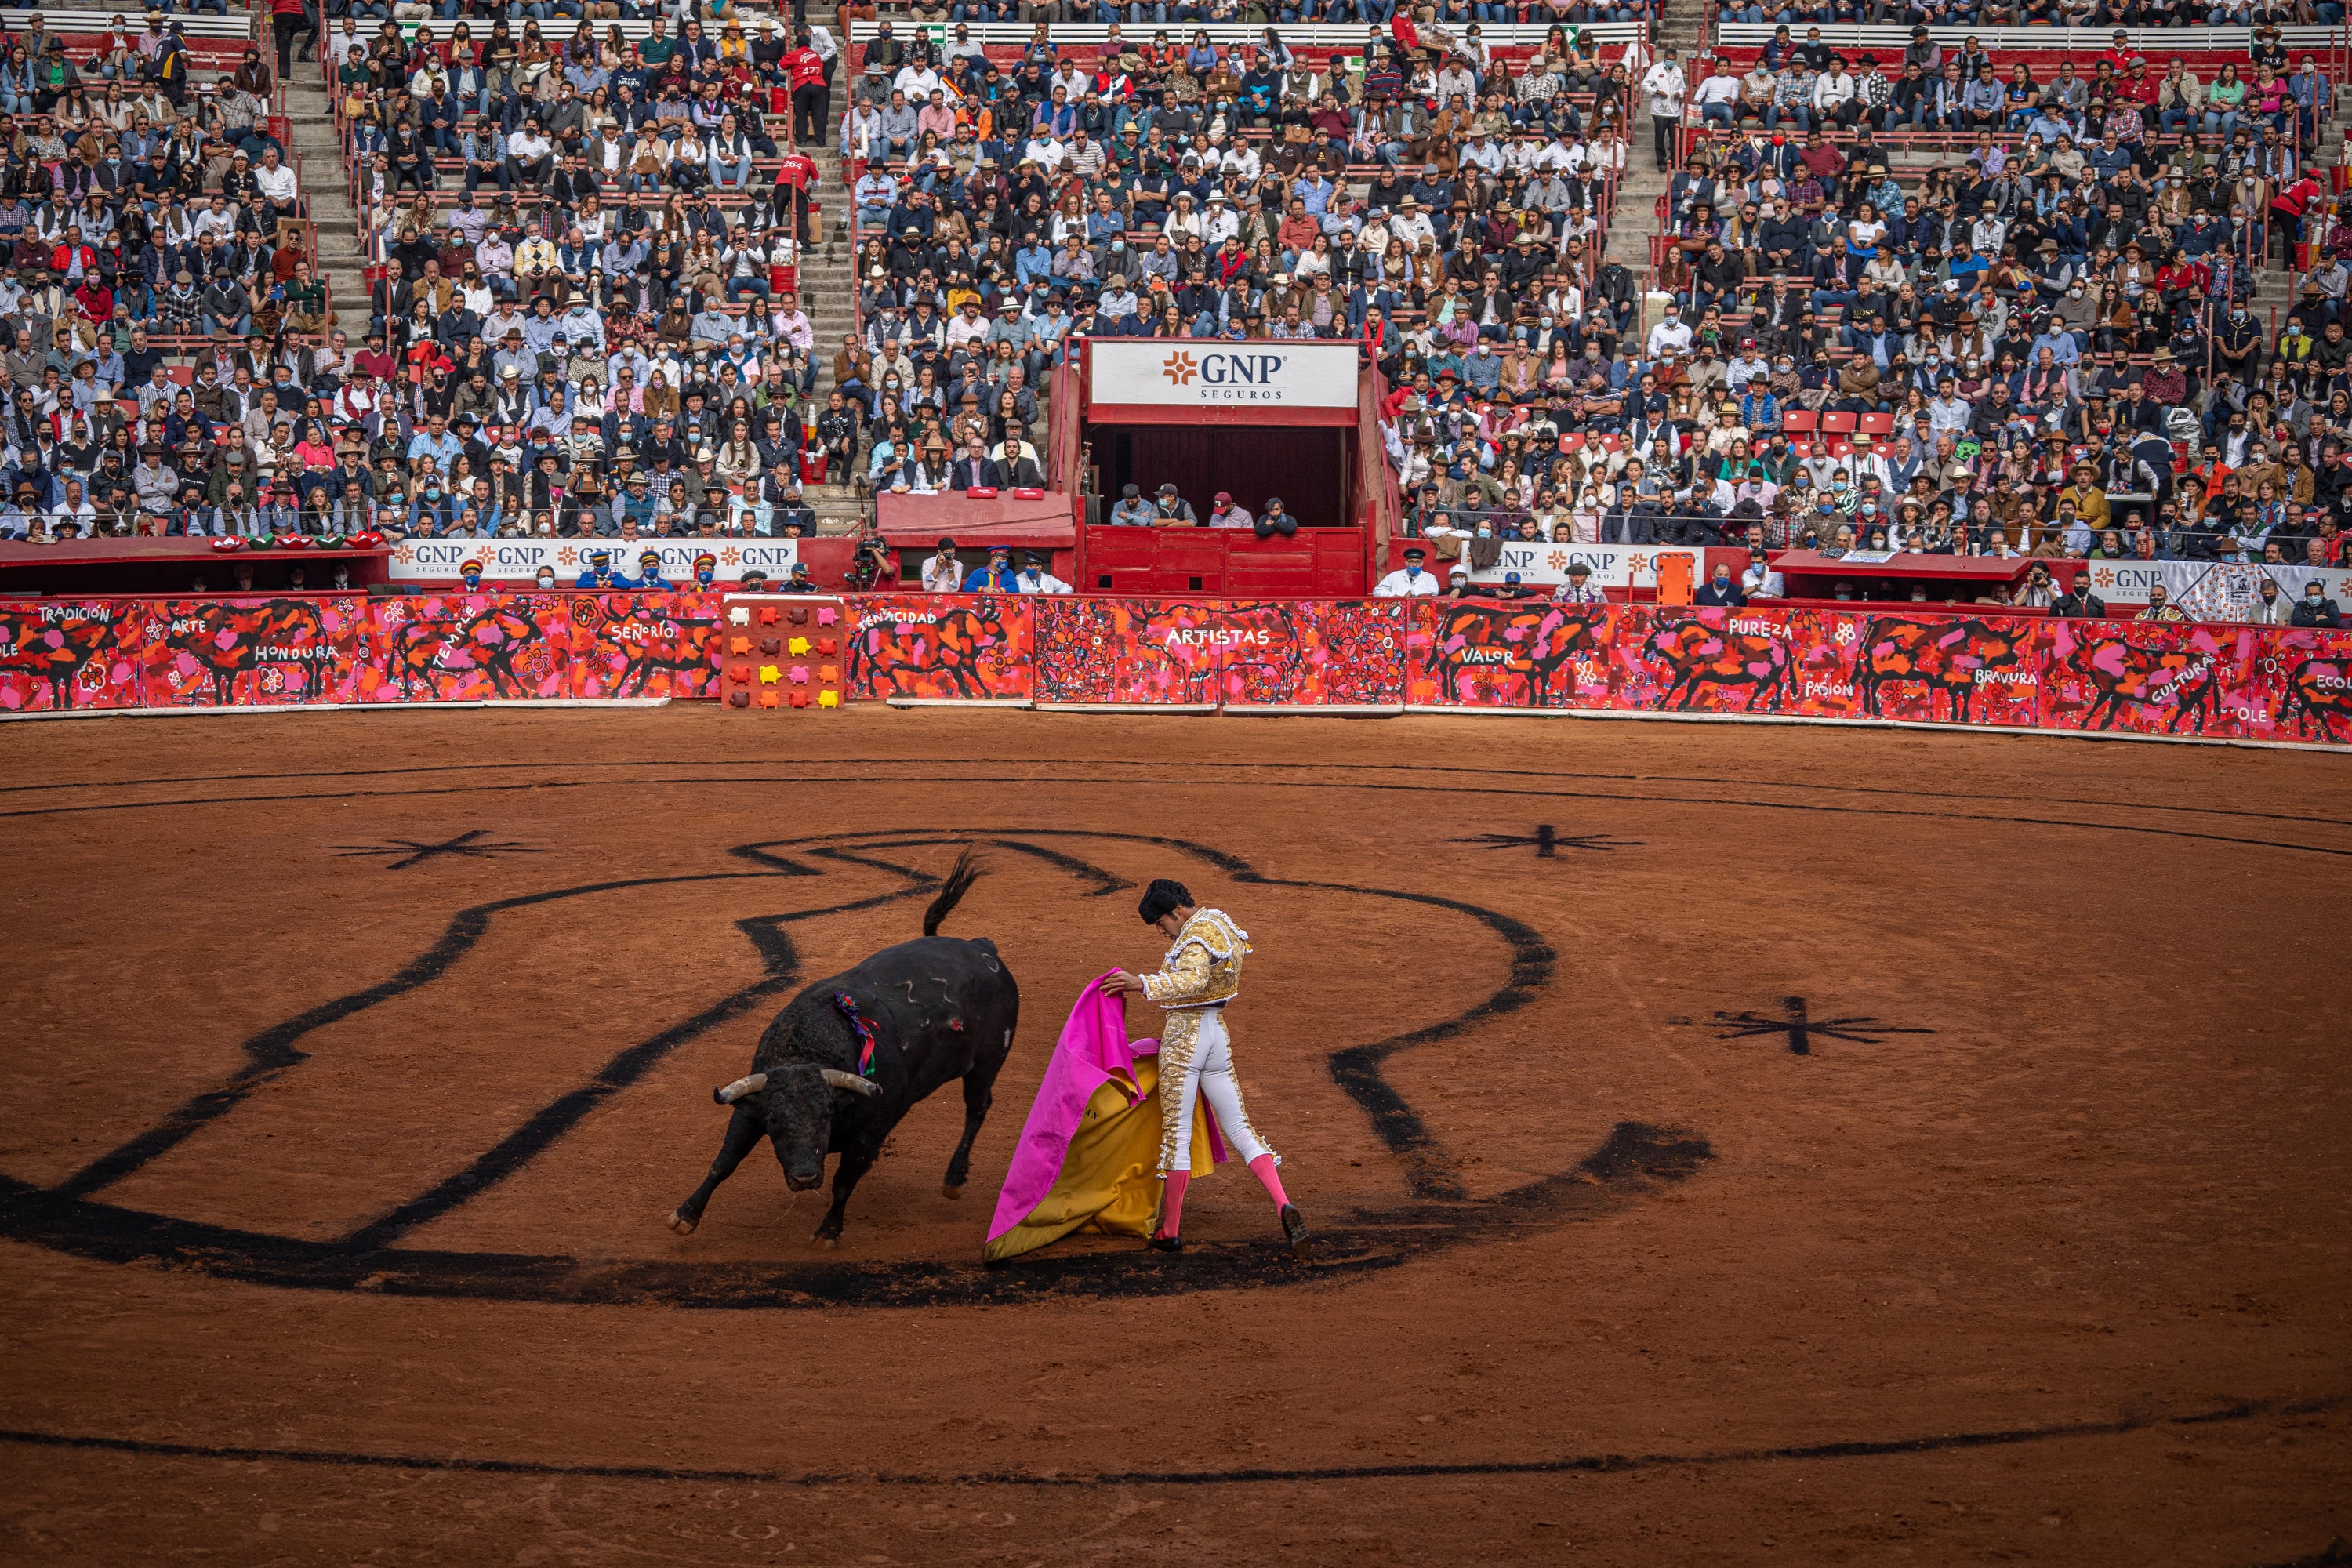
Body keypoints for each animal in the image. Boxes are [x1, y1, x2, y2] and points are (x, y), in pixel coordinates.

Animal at [673, 846, 1021, 1250]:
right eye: (774, 1120)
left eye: (825, 1115)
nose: (805, 1179)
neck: (810, 1047)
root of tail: (982, 947)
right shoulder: (750, 1109)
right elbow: (724, 1161)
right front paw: (686, 1214)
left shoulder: (865, 1139)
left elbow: (842, 1184)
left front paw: (827, 1231)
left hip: (988, 1062)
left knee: (977, 1107)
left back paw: (954, 1179)